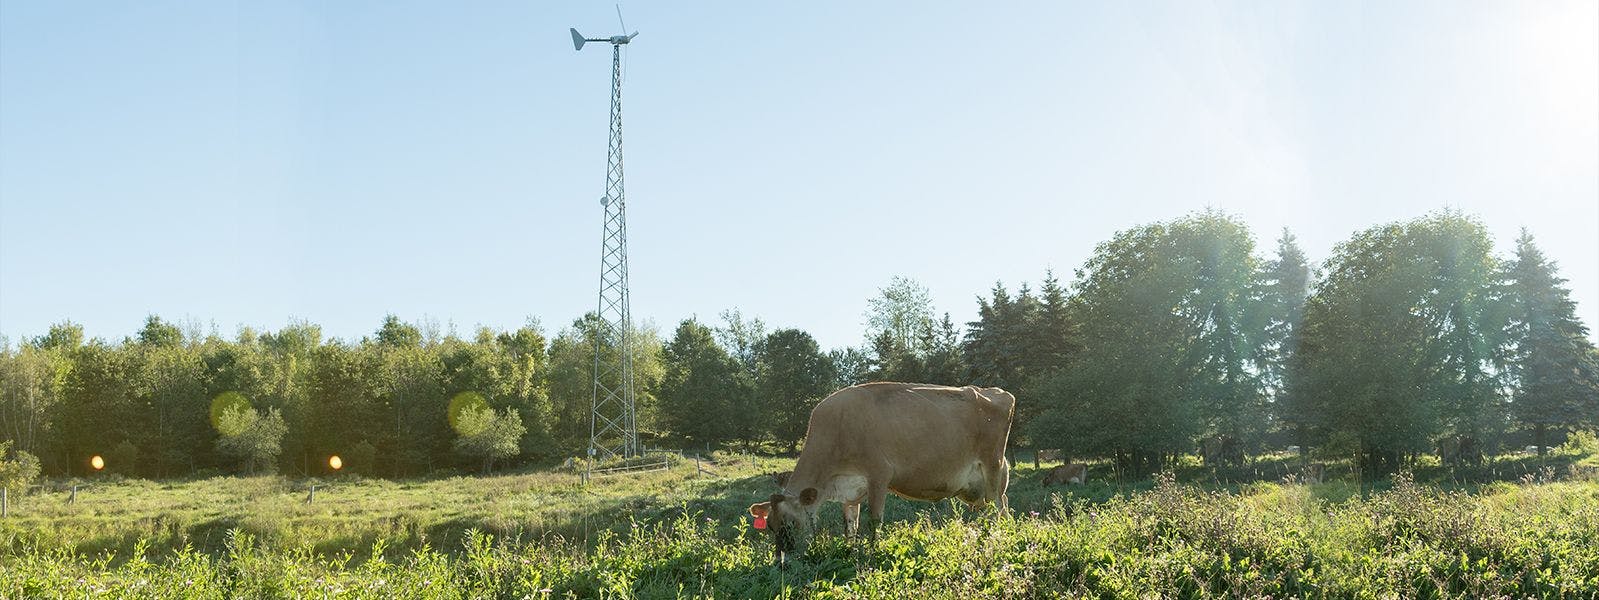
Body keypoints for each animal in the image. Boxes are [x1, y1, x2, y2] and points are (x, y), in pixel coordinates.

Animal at [745, 385, 1010, 563]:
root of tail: (997, 391)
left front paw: (873, 552)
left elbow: (874, 521)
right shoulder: (850, 491)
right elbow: (850, 526)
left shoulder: (879, 475)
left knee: (999, 509)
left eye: (792, 524)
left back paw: (998, 537)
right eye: (770, 526)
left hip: (992, 467)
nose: (781, 563)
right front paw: (850, 551)